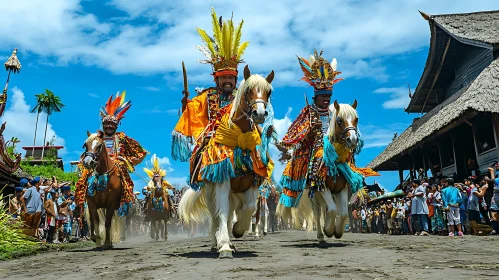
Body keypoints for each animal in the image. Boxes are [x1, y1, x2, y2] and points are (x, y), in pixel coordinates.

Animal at [179, 65, 276, 258]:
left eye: (268, 92)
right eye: (248, 90)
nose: (260, 113)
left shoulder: (252, 183)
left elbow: (248, 209)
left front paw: (238, 231)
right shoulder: (222, 180)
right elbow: (221, 212)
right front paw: (223, 245)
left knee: (233, 212)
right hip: (210, 190)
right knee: (215, 214)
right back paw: (215, 242)